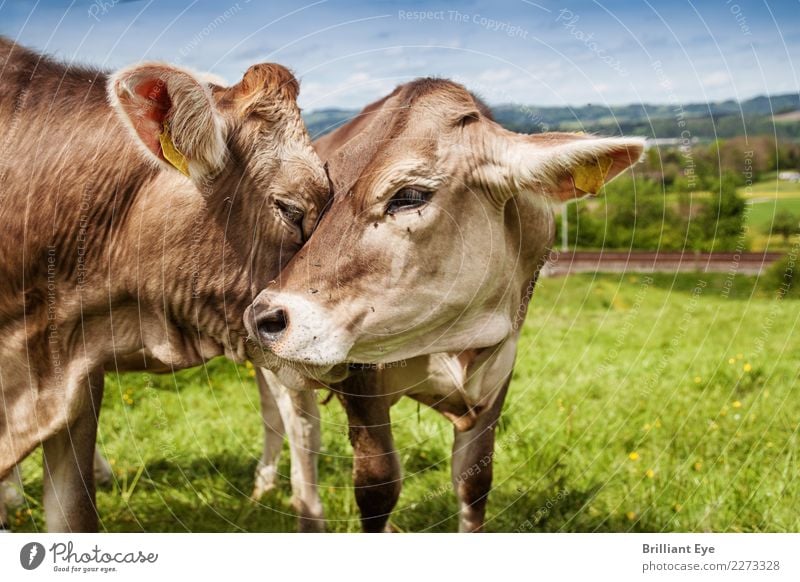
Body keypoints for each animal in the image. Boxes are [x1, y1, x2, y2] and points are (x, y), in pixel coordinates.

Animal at [245, 78, 644, 532]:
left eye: (409, 195)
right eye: (320, 200)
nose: (265, 318)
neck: (452, 336)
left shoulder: (498, 376)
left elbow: (474, 482)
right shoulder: (359, 384)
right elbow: (378, 485)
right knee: (301, 430)